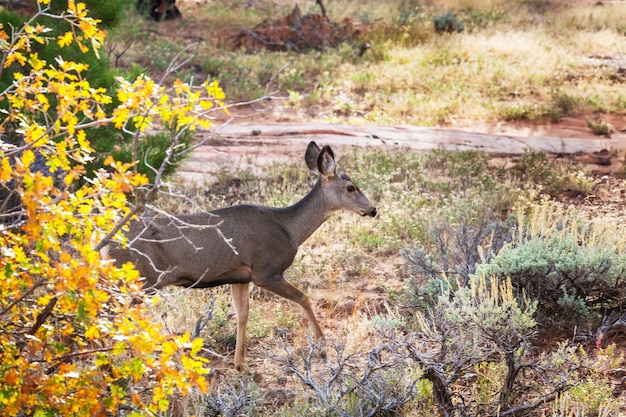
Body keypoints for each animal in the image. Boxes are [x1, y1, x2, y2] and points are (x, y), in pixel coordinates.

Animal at [106, 141, 376, 368]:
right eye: (351, 187)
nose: (373, 210)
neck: (289, 229)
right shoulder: (266, 271)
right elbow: (303, 298)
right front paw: (323, 347)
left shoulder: (240, 277)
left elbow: (242, 314)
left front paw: (239, 364)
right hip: (141, 280)